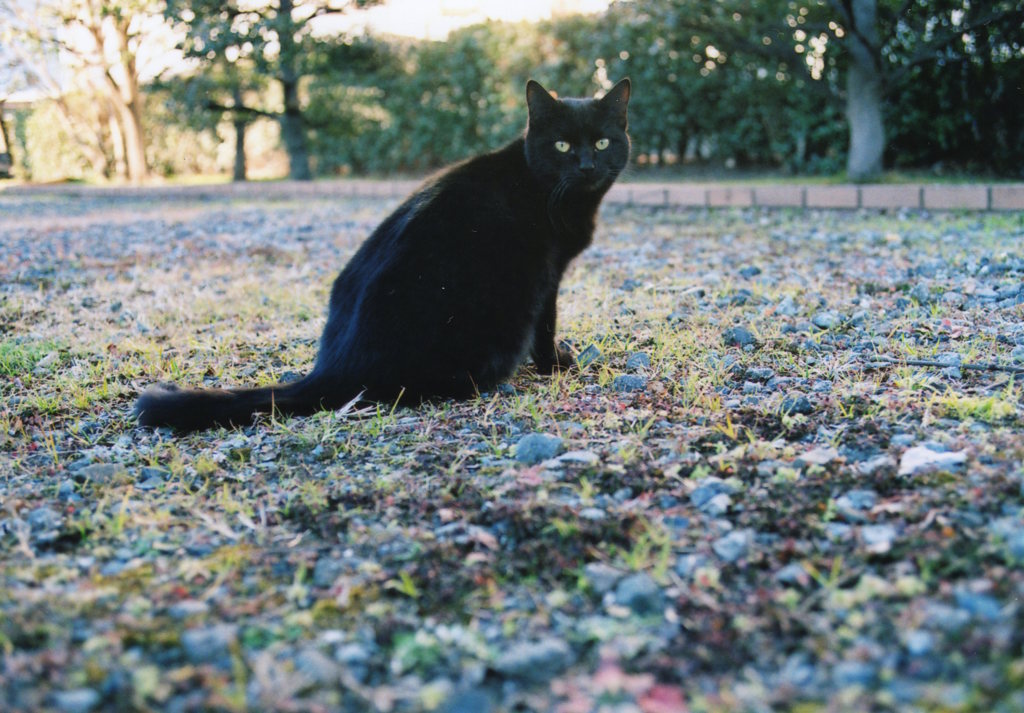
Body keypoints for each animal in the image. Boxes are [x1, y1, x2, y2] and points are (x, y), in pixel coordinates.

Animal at [136, 79, 630, 432]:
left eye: (602, 143)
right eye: (562, 145)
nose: (587, 165)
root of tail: (332, 368)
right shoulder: (547, 276)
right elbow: (546, 327)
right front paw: (554, 365)